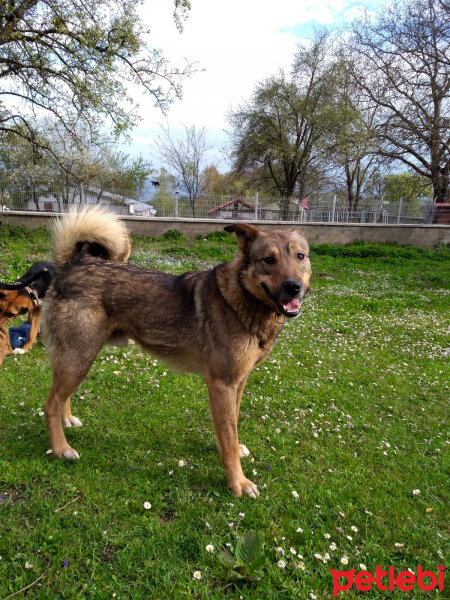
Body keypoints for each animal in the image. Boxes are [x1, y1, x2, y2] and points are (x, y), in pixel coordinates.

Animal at [42, 206, 312, 496]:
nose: (294, 287)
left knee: (61, 395)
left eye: (300, 256)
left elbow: (232, 426)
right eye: (268, 260)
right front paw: (238, 483)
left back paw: (67, 420)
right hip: (80, 356)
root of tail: (75, 264)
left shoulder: (238, 382)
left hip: (78, 358)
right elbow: (228, 439)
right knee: (51, 403)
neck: (243, 298)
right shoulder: (222, 384)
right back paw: (61, 448)